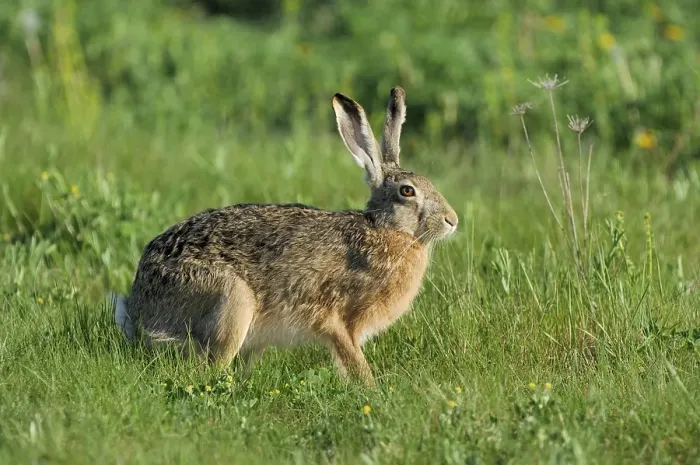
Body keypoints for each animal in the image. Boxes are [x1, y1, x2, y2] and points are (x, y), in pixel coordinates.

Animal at [113, 86, 458, 386]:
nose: (452, 220)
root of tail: (138, 310)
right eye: (407, 191)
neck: (386, 230)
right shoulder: (338, 319)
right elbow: (353, 360)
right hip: (232, 301)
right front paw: (372, 389)